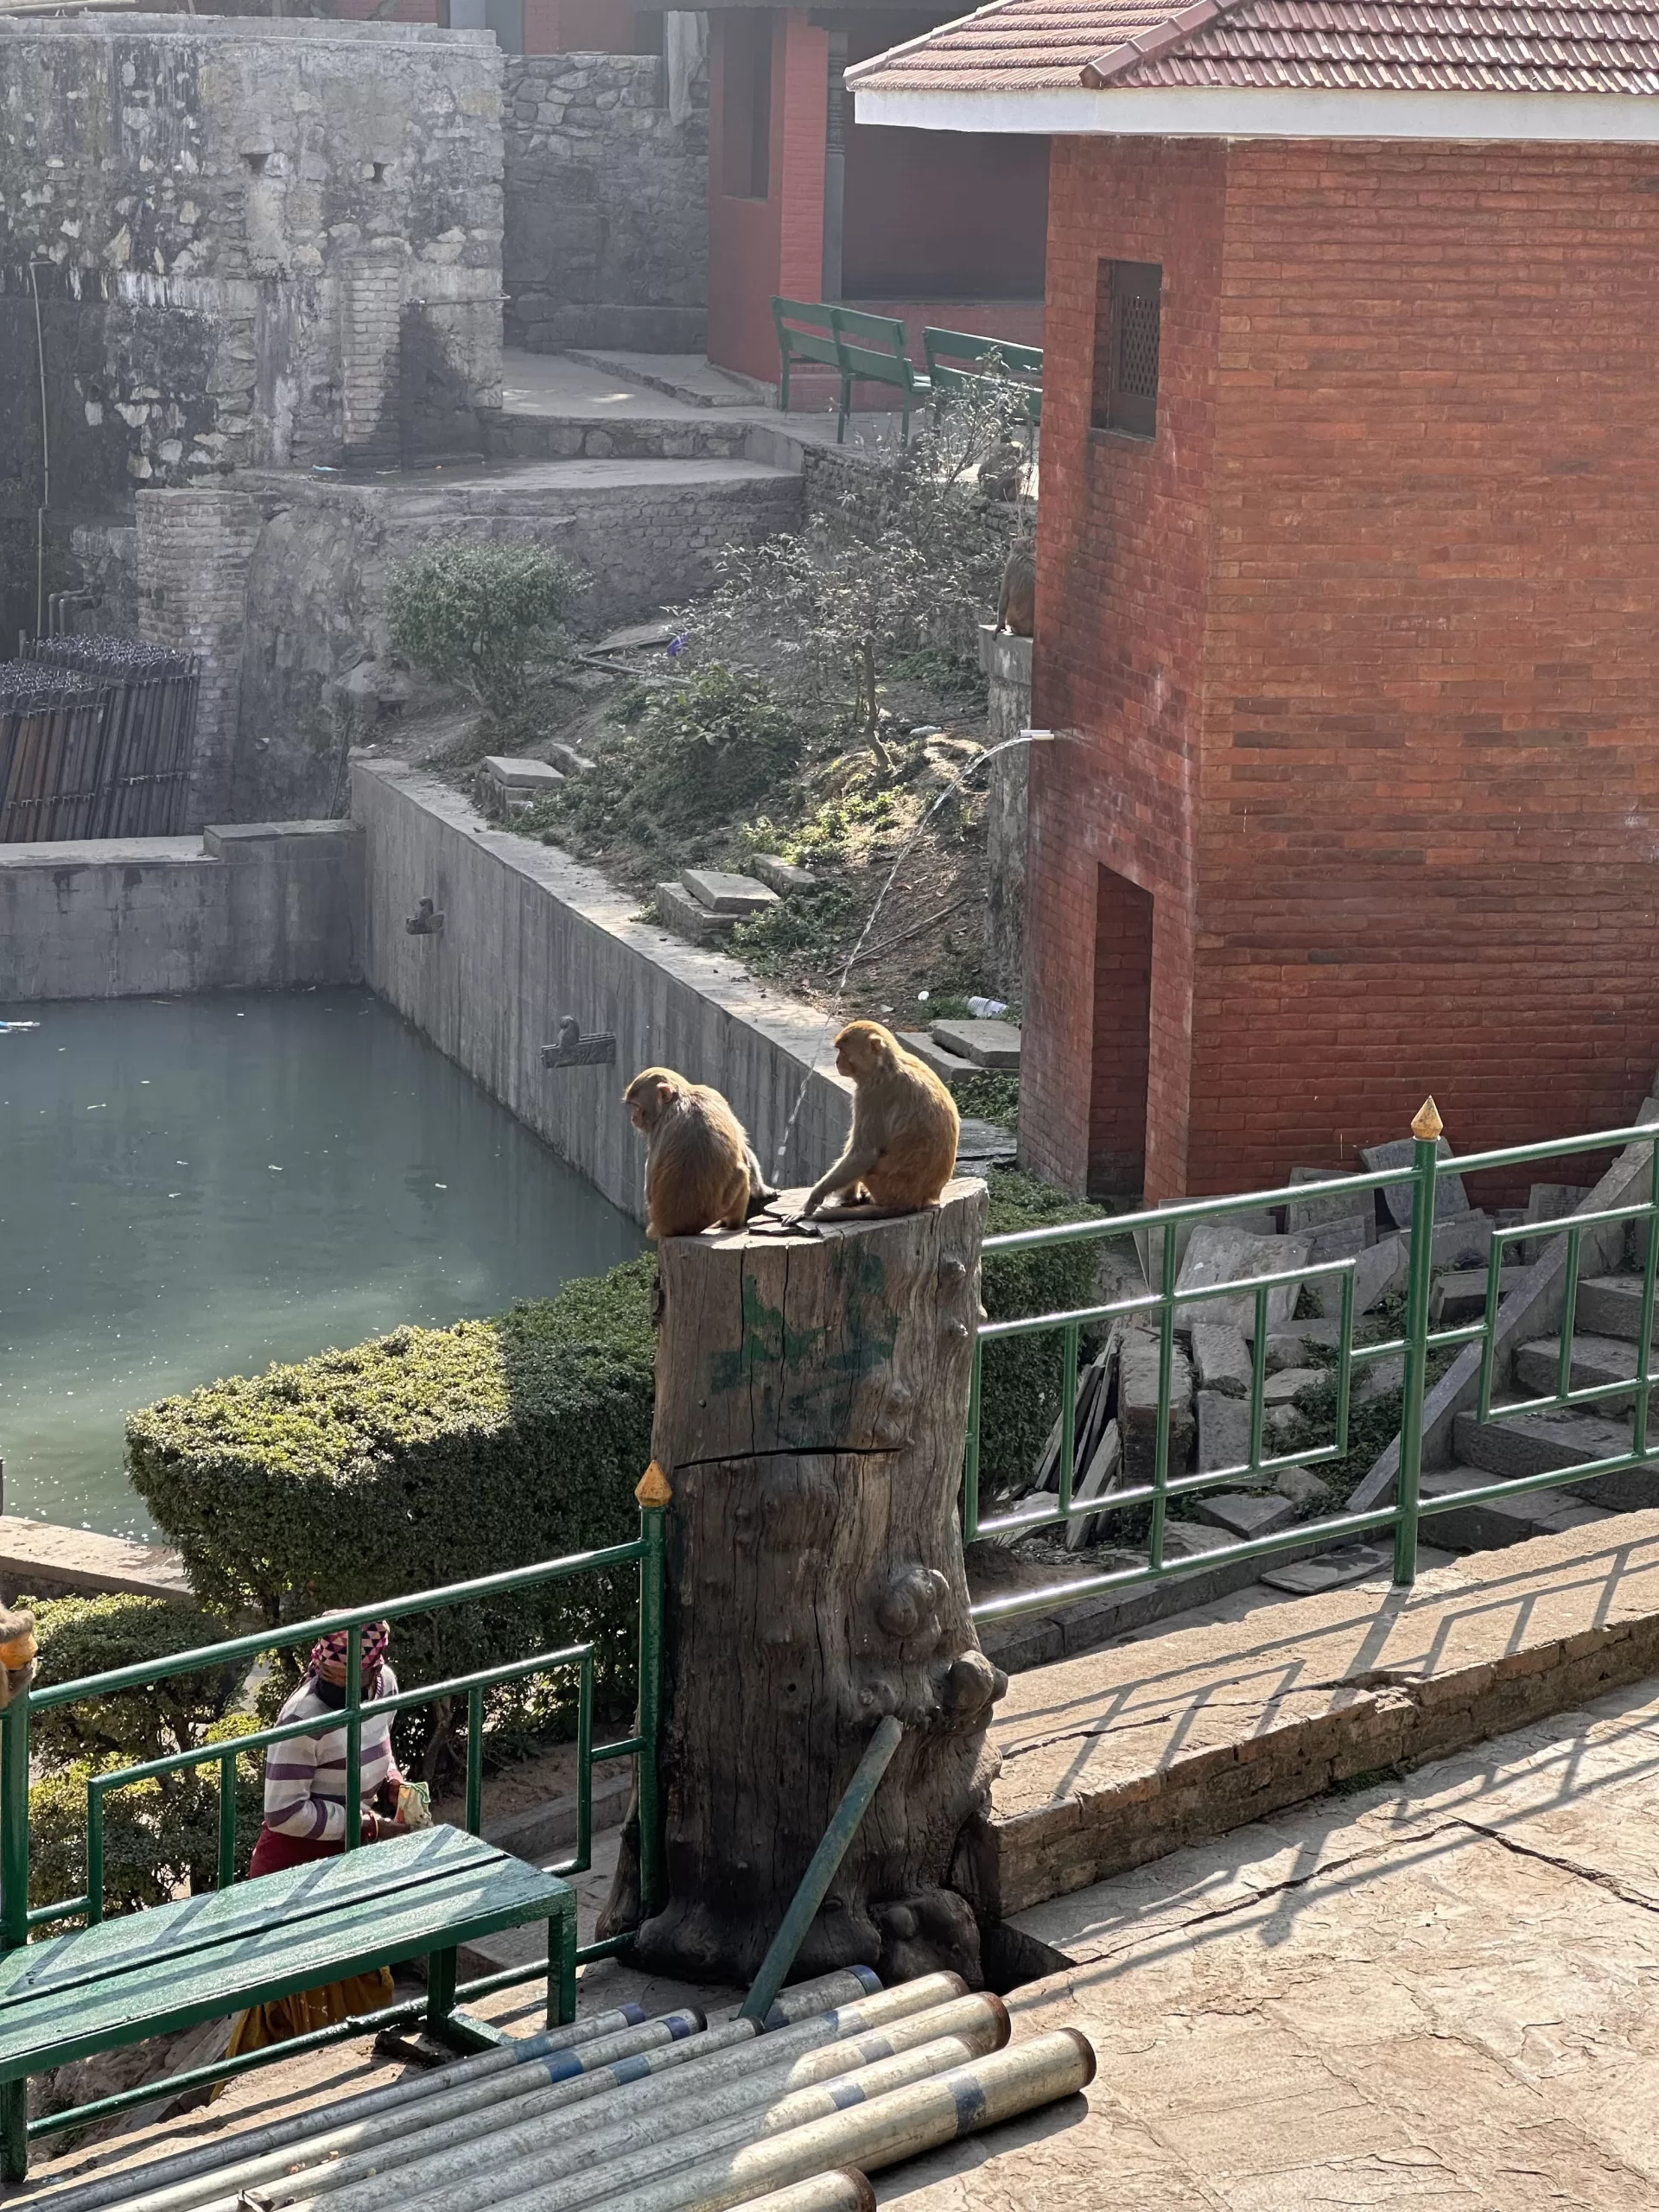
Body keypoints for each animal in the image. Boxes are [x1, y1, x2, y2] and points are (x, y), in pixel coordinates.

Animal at [624, 1067, 777, 1240]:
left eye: (636, 1106)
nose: (633, 1118)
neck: (681, 1097)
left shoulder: (658, 1128)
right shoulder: (713, 1095)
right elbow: (743, 1148)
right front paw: (763, 1190)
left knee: (741, 1172)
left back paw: (733, 1225)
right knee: (742, 1170)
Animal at [803, 1021, 960, 1218]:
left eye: (843, 1051)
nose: (836, 1062)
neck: (886, 1064)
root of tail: (912, 1203)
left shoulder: (871, 1093)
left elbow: (864, 1154)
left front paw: (813, 1198)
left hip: (881, 1185)